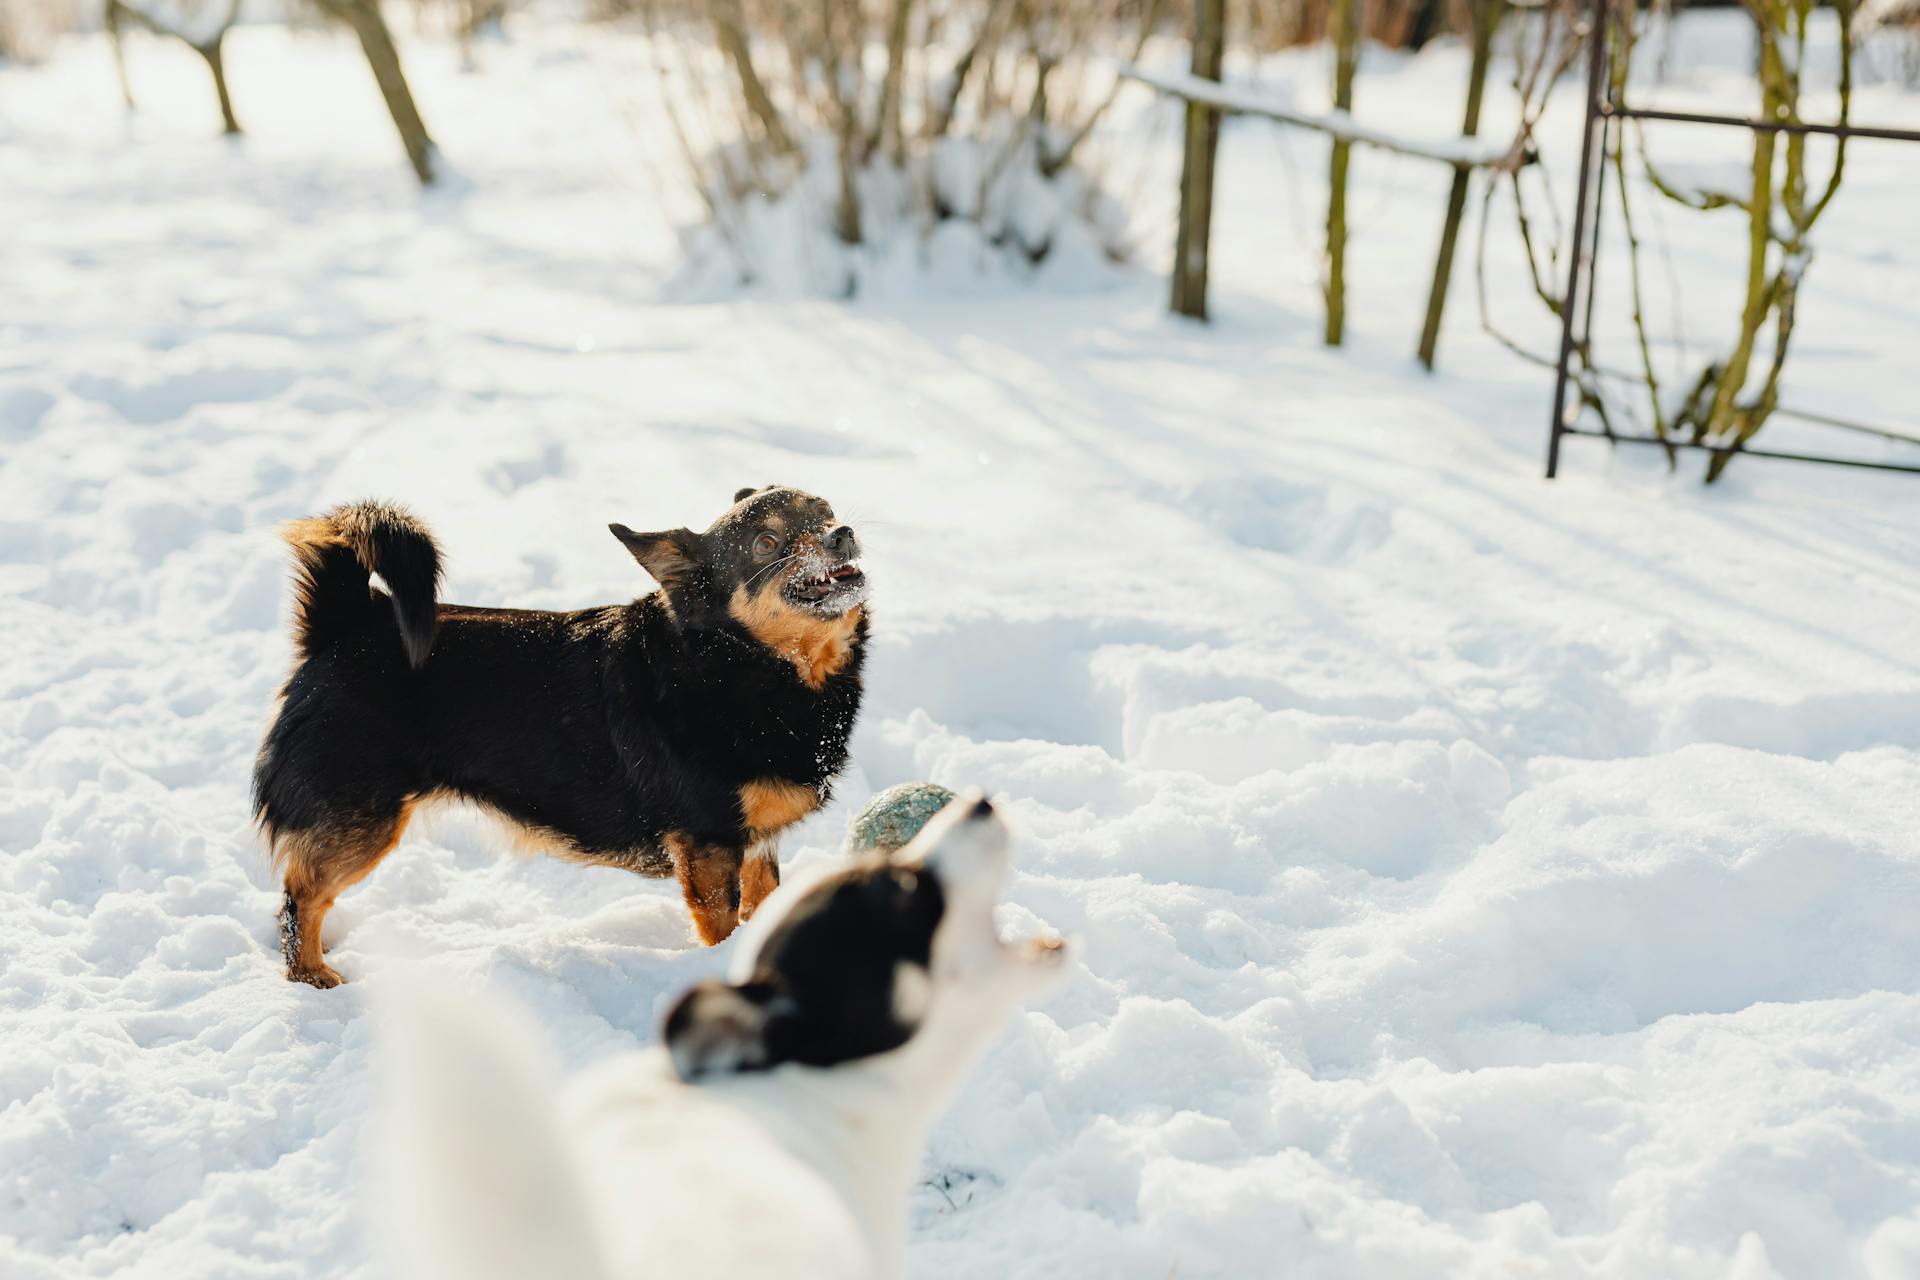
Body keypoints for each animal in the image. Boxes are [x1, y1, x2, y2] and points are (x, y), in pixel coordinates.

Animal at [251, 485, 867, 990]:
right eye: (767, 543)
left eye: (824, 510)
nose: (842, 532)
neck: (742, 664)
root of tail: (347, 623)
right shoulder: (710, 845)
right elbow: (725, 926)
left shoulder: (757, 845)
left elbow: (765, 907)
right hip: (362, 821)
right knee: (300, 895)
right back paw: (311, 975)